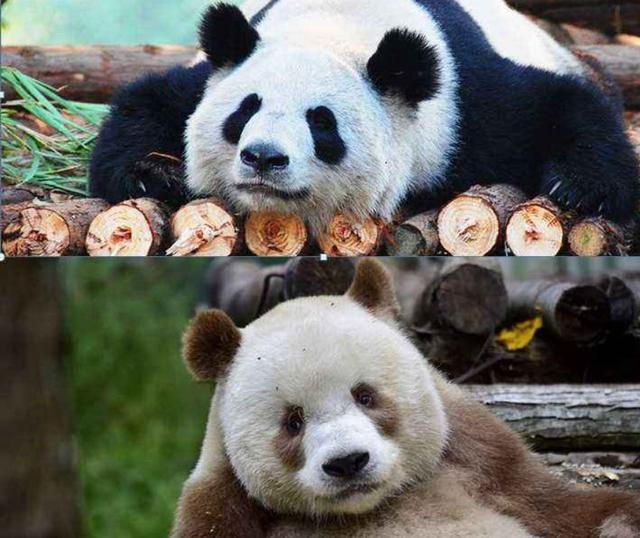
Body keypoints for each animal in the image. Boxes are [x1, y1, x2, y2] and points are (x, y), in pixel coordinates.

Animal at [90, 0, 639, 232]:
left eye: (321, 122)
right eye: (246, 110)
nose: (263, 158)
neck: (334, 26)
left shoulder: (465, 104)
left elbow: (558, 105)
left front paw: (579, 187)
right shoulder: (214, 72)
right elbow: (150, 101)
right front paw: (151, 173)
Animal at [171, 259, 640, 537]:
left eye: (365, 395)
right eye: (293, 421)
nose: (348, 463)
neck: (369, 507)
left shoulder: (479, 459)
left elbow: (559, 506)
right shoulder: (224, 504)